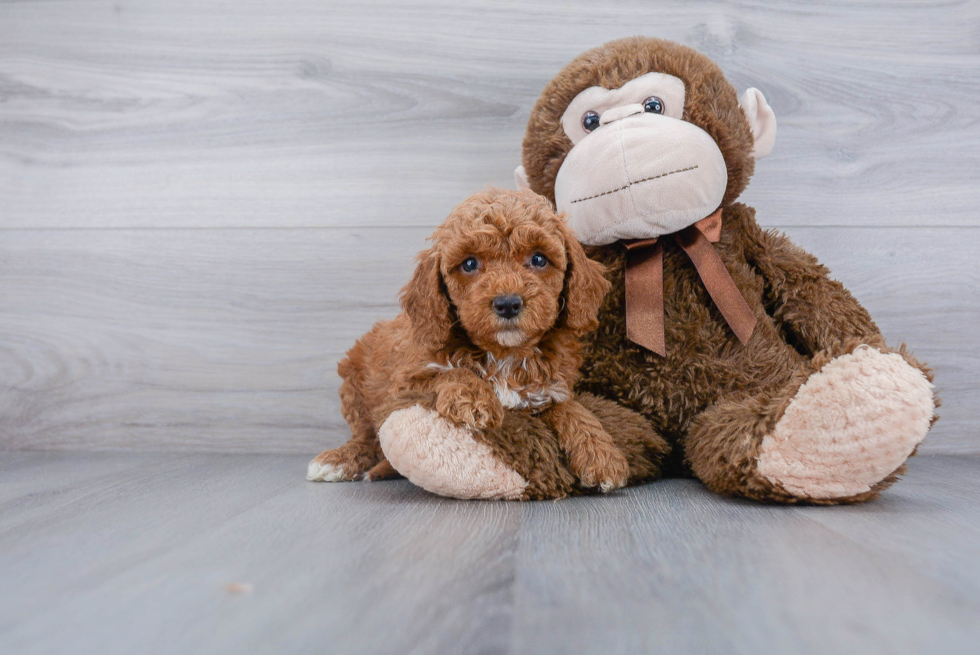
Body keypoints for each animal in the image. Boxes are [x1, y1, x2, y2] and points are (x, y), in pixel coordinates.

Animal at [310, 186, 632, 492]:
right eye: (468, 264)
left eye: (539, 259)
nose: (507, 303)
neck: (504, 354)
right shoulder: (404, 384)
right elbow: (449, 373)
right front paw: (476, 400)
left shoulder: (548, 390)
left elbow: (570, 407)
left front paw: (601, 455)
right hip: (355, 386)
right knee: (366, 436)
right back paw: (337, 461)